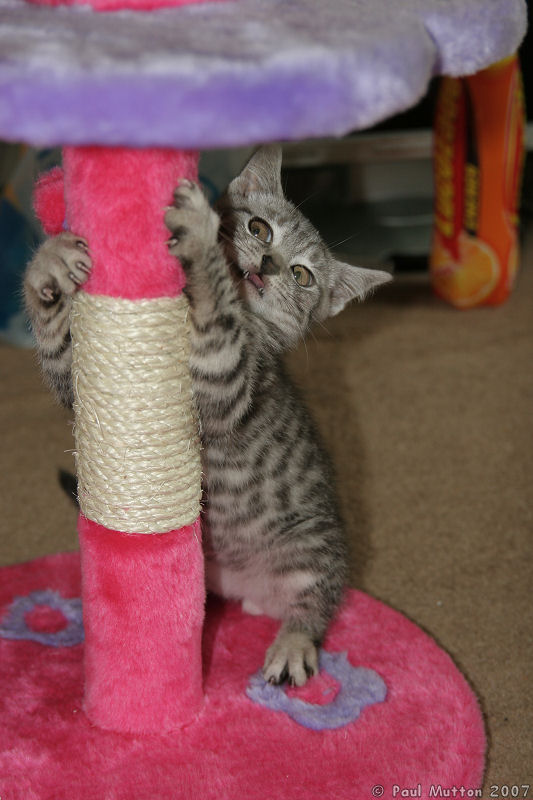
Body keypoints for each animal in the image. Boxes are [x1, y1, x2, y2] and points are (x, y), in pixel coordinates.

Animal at [23, 147, 390, 684]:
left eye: (301, 276)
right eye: (259, 228)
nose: (270, 263)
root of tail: (245, 589)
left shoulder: (230, 379)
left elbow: (217, 315)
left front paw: (199, 233)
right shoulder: (88, 374)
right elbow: (60, 351)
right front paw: (50, 266)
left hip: (312, 544)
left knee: (316, 601)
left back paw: (293, 642)